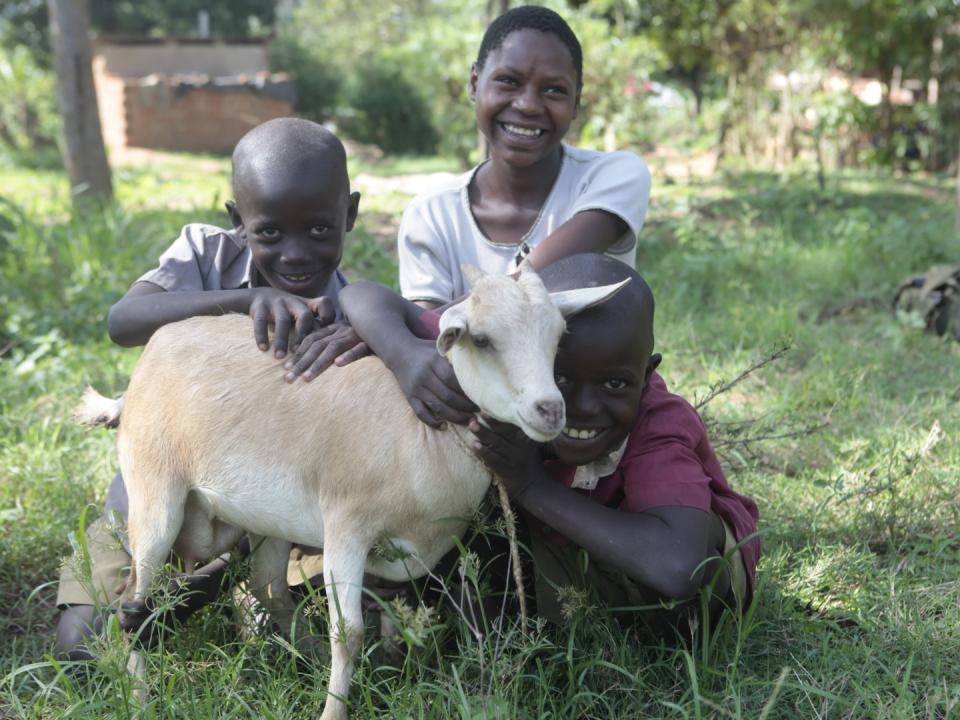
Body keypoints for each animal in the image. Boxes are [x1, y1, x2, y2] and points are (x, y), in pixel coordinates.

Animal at [79, 266, 628, 720]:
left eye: (557, 337)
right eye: (483, 339)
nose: (549, 411)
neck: (421, 434)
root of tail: (137, 376)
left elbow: (393, 616)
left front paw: (393, 677)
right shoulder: (346, 526)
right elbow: (350, 634)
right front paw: (335, 710)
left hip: (267, 521)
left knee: (269, 589)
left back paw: (300, 661)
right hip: (155, 492)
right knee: (133, 602)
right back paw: (142, 698)